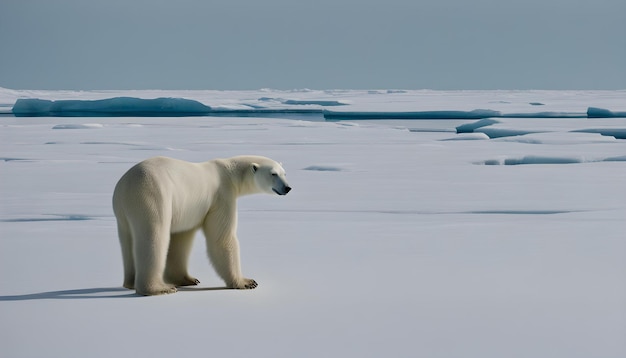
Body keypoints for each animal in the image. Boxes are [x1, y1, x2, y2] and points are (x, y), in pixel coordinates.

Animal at [112, 155, 290, 296]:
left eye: (284, 173)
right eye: (273, 174)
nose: (287, 187)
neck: (228, 172)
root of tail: (125, 186)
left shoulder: (188, 210)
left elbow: (181, 239)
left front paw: (187, 279)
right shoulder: (222, 196)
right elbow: (222, 239)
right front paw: (246, 282)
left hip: (122, 213)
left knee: (127, 239)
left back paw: (130, 282)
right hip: (152, 195)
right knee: (154, 235)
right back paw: (158, 288)